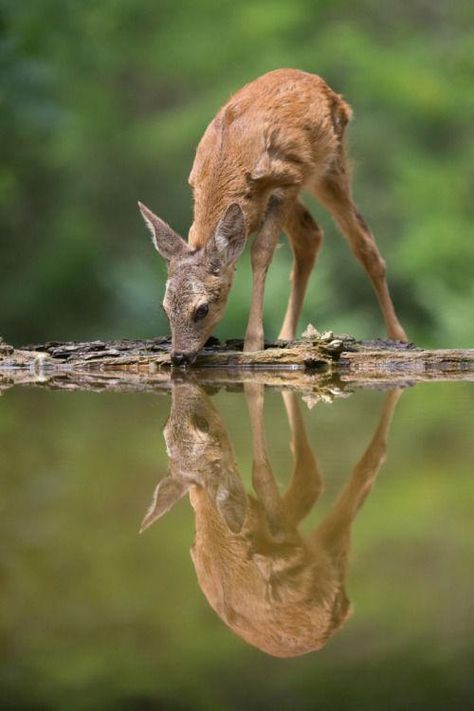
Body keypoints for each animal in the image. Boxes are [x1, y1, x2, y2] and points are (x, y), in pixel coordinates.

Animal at [138, 67, 408, 368]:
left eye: (202, 309)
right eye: (165, 309)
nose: (179, 356)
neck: (226, 165)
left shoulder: (287, 181)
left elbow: (261, 252)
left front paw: (253, 344)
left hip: (327, 167)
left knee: (362, 242)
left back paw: (399, 336)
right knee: (310, 235)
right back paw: (286, 336)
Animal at [141, 382, 400, 660]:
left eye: (200, 423)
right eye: (168, 425)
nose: (179, 381)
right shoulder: (287, 539)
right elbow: (276, 476)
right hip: (326, 564)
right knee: (355, 467)